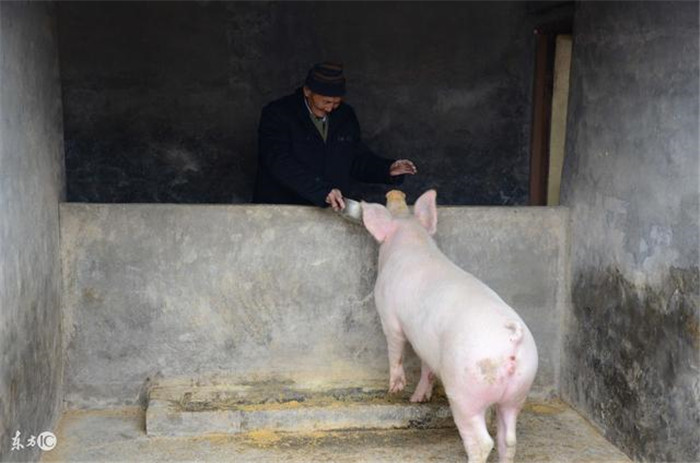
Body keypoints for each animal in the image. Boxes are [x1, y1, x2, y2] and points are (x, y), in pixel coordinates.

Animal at [364, 189, 540, 463]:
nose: (395, 193)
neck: (413, 240)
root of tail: (513, 337)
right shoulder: (425, 342)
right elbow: (426, 367)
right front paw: (417, 400)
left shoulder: (388, 314)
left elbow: (395, 348)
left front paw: (394, 389)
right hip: (519, 391)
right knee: (508, 439)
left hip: (465, 392)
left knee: (482, 442)